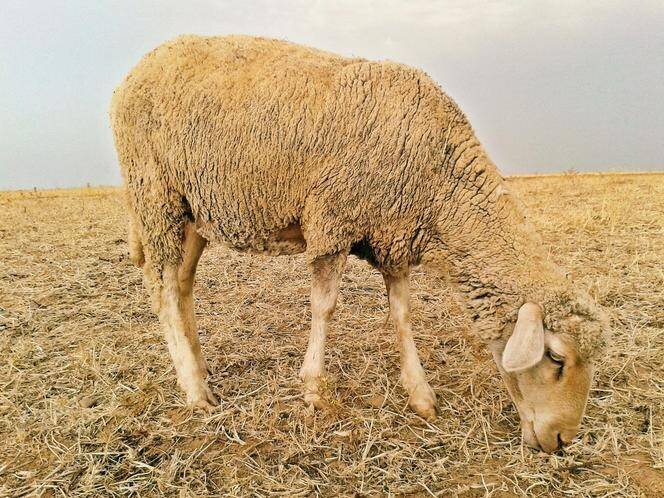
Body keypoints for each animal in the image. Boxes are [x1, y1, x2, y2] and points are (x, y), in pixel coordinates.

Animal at [110, 35, 609, 453]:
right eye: (556, 358)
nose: (562, 440)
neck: (440, 179)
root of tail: (133, 72)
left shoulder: (395, 233)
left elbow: (403, 315)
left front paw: (421, 394)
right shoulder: (333, 219)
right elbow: (324, 307)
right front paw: (313, 389)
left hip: (193, 209)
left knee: (182, 285)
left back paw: (198, 368)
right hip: (155, 192)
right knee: (162, 288)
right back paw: (195, 390)